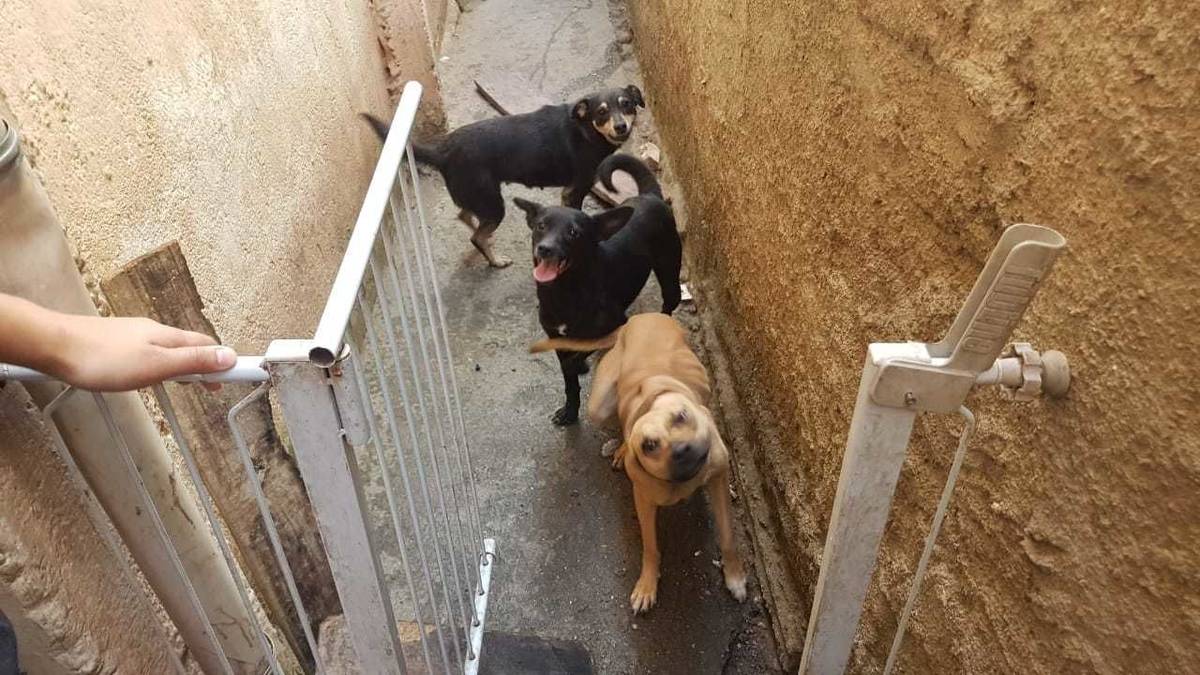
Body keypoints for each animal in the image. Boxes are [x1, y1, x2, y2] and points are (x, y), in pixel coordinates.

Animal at [362, 85, 645, 268]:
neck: (586, 128)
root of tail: (443, 151)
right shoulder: (575, 190)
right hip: (493, 203)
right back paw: (495, 260)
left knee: (465, 216)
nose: (621, 126)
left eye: (627, 104)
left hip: (480, 198)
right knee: (475, 235)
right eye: (602, 112)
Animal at [514, 154, 681, 426]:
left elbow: (576, 358)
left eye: (573, 232)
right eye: (541, 226)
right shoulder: (556, 337)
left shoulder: (616, 325)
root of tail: (650, 196)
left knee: (669, 303)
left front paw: (578, 365)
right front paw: (570, 412)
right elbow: (570, 380)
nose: (545, 249)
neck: (565, 292)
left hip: (669, 270)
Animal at [531, 313, 747, 613]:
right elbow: (651, 547)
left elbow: (727, 537)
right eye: (649, 445)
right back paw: (621, 448)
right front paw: (647, 585)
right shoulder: (643, 501)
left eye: (681, 416)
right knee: (616, 420)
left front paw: (735, 576)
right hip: (598, 406)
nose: (682, 450)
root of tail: (639, 317)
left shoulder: (718, 478)